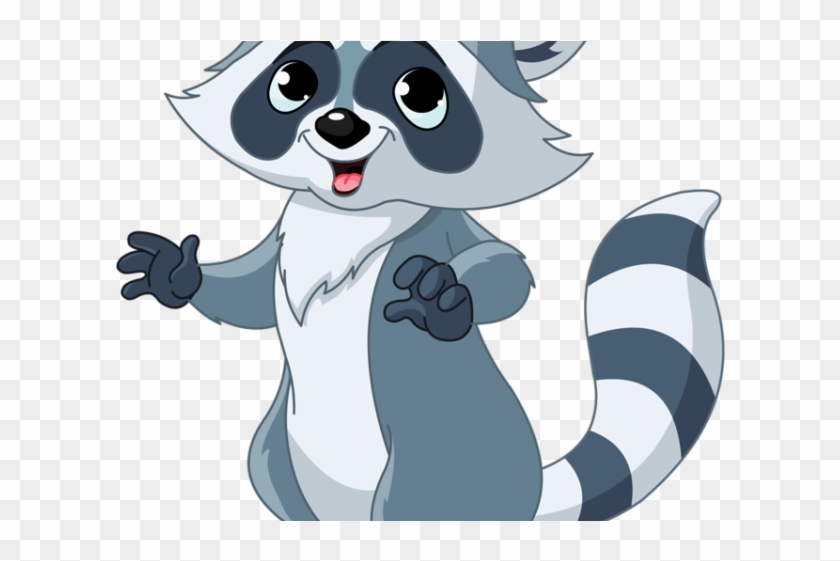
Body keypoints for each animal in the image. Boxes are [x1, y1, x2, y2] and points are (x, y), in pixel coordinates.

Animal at [117, 41, 724, 521]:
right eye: (292, 82)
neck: (349, 216)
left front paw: (442, 304)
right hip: (277, 463)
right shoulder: (283, 243)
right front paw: (176, 273)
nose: (341, 126)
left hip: (432, 469)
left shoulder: (447, 227)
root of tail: (528, 497)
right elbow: (250, 297)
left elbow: (503, 266)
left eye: (421, 94)